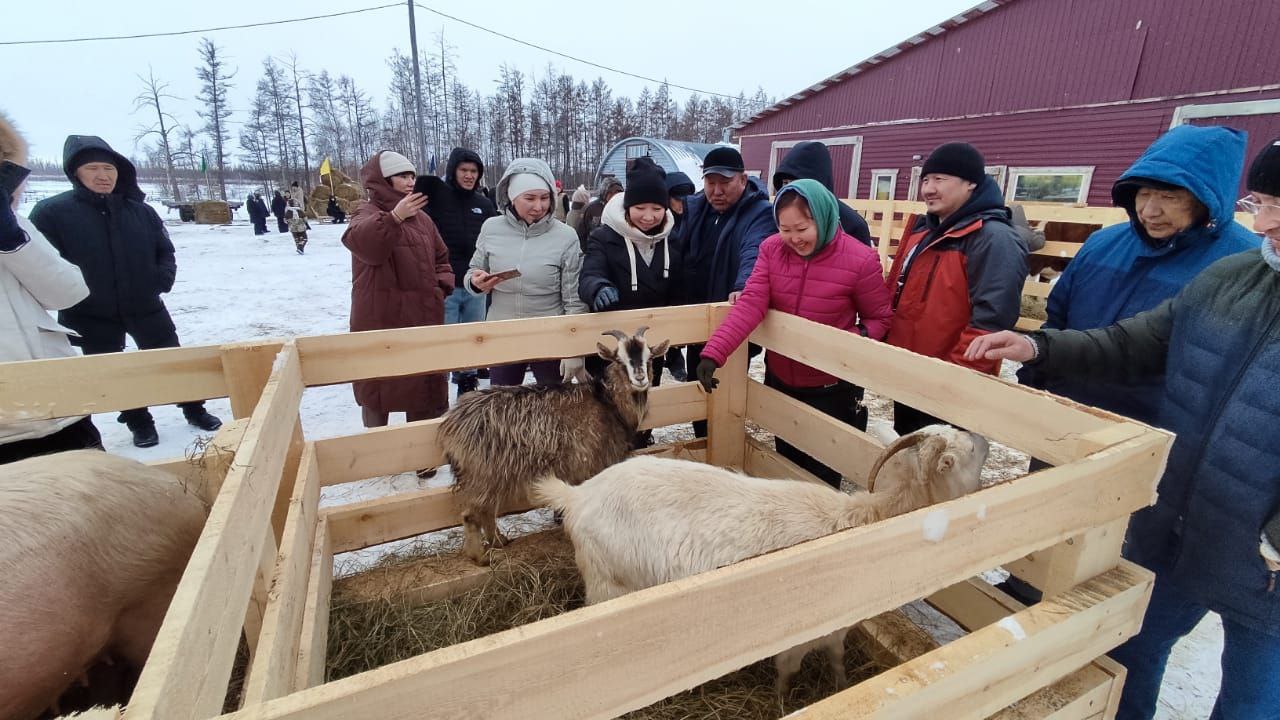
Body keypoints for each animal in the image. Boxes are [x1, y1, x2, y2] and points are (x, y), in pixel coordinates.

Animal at [440, 322, 670, 563]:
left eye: (649, 357)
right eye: (619, 360)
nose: (640, 378)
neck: (608, 404)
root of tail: (451, 423)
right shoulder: (591, 462)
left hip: (493, 474)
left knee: (487, 508)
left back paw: (499, 541)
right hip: (481, 473)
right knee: (471, 514)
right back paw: (480, 557)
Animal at [529, 422, 988, 691]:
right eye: (967, 451)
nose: (984, 437)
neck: (861, 522)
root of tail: (577, 495)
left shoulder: (835, 631)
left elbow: (838, 661)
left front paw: (840, 686)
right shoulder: (794, 637)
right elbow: (787, 674)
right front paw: (785, 702)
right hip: (607, 586)